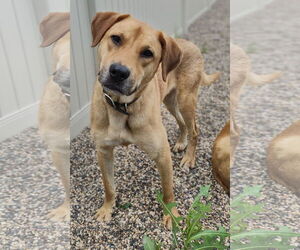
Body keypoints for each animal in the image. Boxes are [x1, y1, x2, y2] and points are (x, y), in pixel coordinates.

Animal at [90, 12, 219, 229]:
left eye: (147, 53)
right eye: (116, 38)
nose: (119, 72)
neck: (121, 107)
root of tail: (190, 44)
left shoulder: (161, 154)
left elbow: (168, 191)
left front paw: (171, 215)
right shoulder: (103, 151)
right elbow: (108, 186)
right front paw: (107, 208)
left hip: (186, 100)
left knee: (195, 128)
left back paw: (189, 158)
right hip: (170, 102)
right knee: (182, 123)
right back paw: (181, 143)